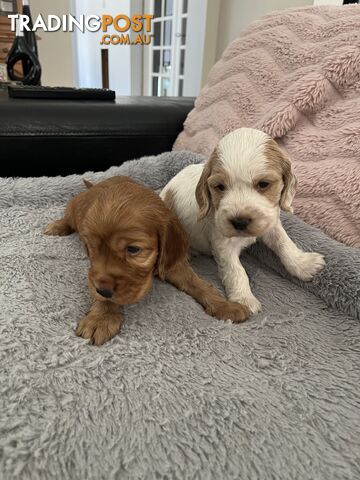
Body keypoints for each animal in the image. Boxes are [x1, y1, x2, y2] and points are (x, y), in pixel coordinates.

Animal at [43, 176, 249, 344]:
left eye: (133, 249)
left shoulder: (173, 263)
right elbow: (98, 284)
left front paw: (225, 305)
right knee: (67, 217)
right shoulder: (95, 272)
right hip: (73, 207)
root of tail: (93, 186)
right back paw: (56, 227)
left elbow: (198, 284)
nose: (103, 290)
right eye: (91, 247)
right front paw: (101, 317)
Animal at [162, 127, 324, 316]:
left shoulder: (271, 223)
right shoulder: (223, 244)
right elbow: (236, 271)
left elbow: (285, 243)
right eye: (220, 187)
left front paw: (303, 264)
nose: (239, 222)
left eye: (263, 184)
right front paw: (244, 300)